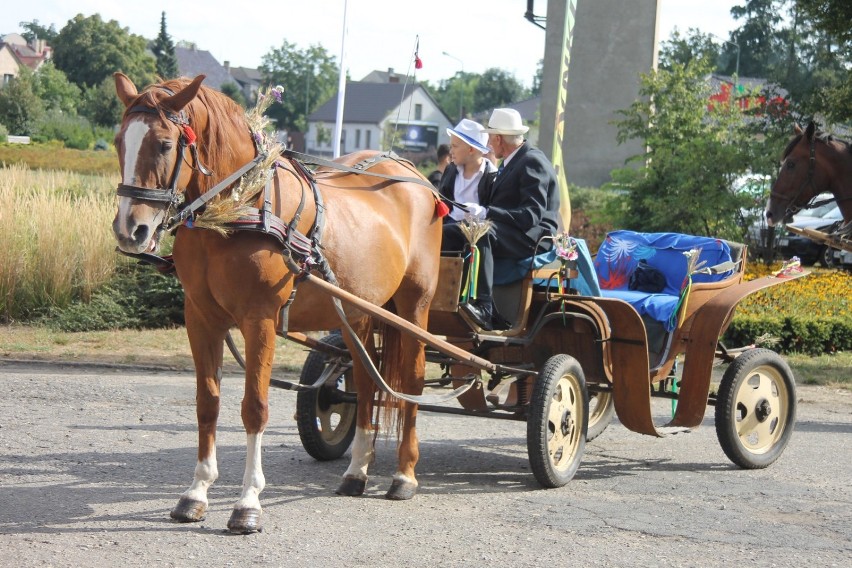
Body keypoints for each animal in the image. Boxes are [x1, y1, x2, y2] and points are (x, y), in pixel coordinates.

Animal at [110, 74, 442, 532]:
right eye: (118, 141)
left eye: (163, 144)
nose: (131, 230)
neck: (238, 208)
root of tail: (410, 172)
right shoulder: (201, 317)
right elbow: (207, 402)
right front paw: (196, 492)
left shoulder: (260, 319)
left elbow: (255, 407)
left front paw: (248, 502)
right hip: (358, 312)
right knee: (366, 380)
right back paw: (356, 471)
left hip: (415, 307)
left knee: (409, 382)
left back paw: (404, 474)